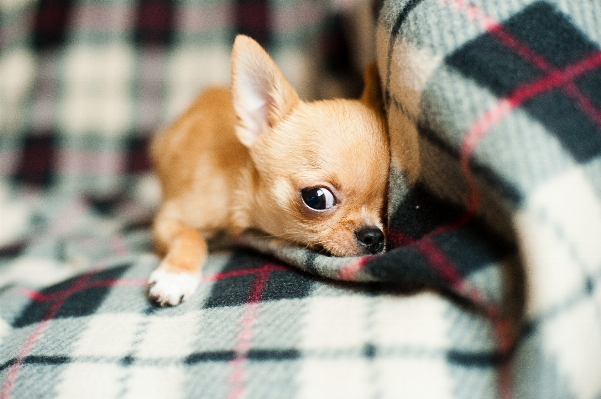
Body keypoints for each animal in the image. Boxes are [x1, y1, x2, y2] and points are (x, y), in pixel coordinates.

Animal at [148, 36, 386, 306]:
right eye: (317, 198)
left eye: (386, 199)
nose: (374, 236)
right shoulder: (168, 219)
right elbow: (191, 236)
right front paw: (176, 275)